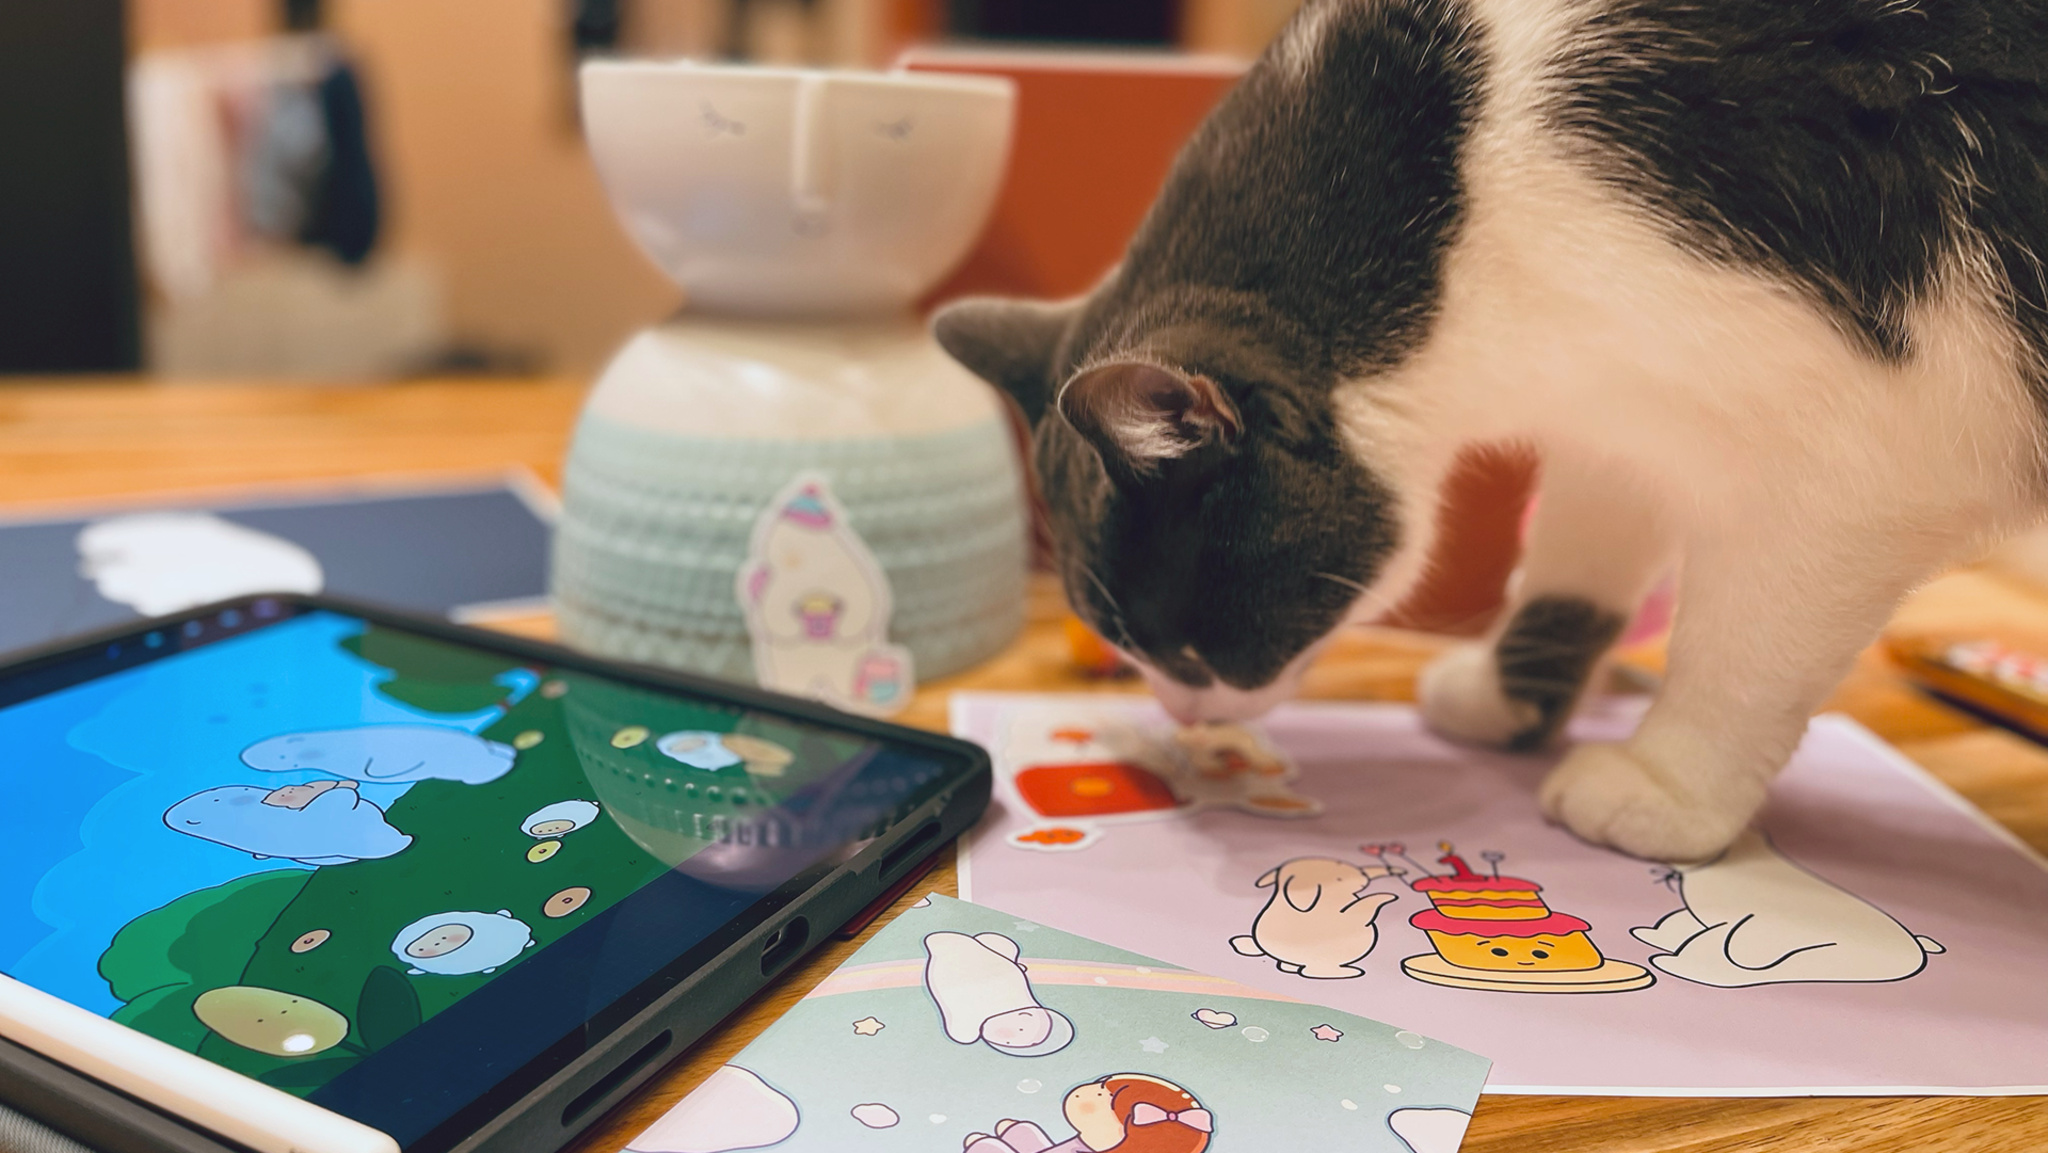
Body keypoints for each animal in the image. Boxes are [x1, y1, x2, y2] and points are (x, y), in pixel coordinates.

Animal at [937, 0, 2048, 860]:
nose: (1180, 714)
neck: (1452, 198)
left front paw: (1667, 786)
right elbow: (1579, 544)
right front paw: (1509, 695)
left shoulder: (1855, 441)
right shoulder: (1625, 398)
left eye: (1185, 644)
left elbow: (1743, 642)